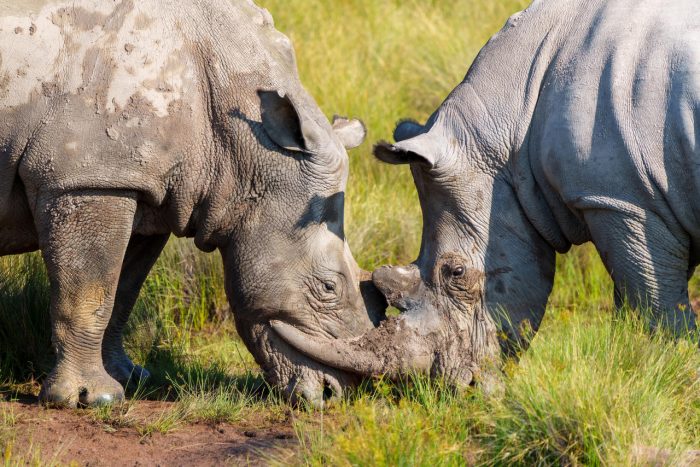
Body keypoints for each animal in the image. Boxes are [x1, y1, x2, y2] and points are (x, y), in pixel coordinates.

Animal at [0, 0, 388, 408]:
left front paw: (130, 377)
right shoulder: (88, 179)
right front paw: (91, 399)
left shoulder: (145, 188)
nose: (333, 394)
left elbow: (122, 291)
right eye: (329, 287)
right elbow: (90, 294)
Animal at [272, 0, 700, 390]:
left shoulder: (621, 202)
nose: (459, 388)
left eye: (456, 273)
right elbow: (640, 299)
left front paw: (670, 373)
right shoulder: (640, 200)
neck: (512, 131)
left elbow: (653, 303)